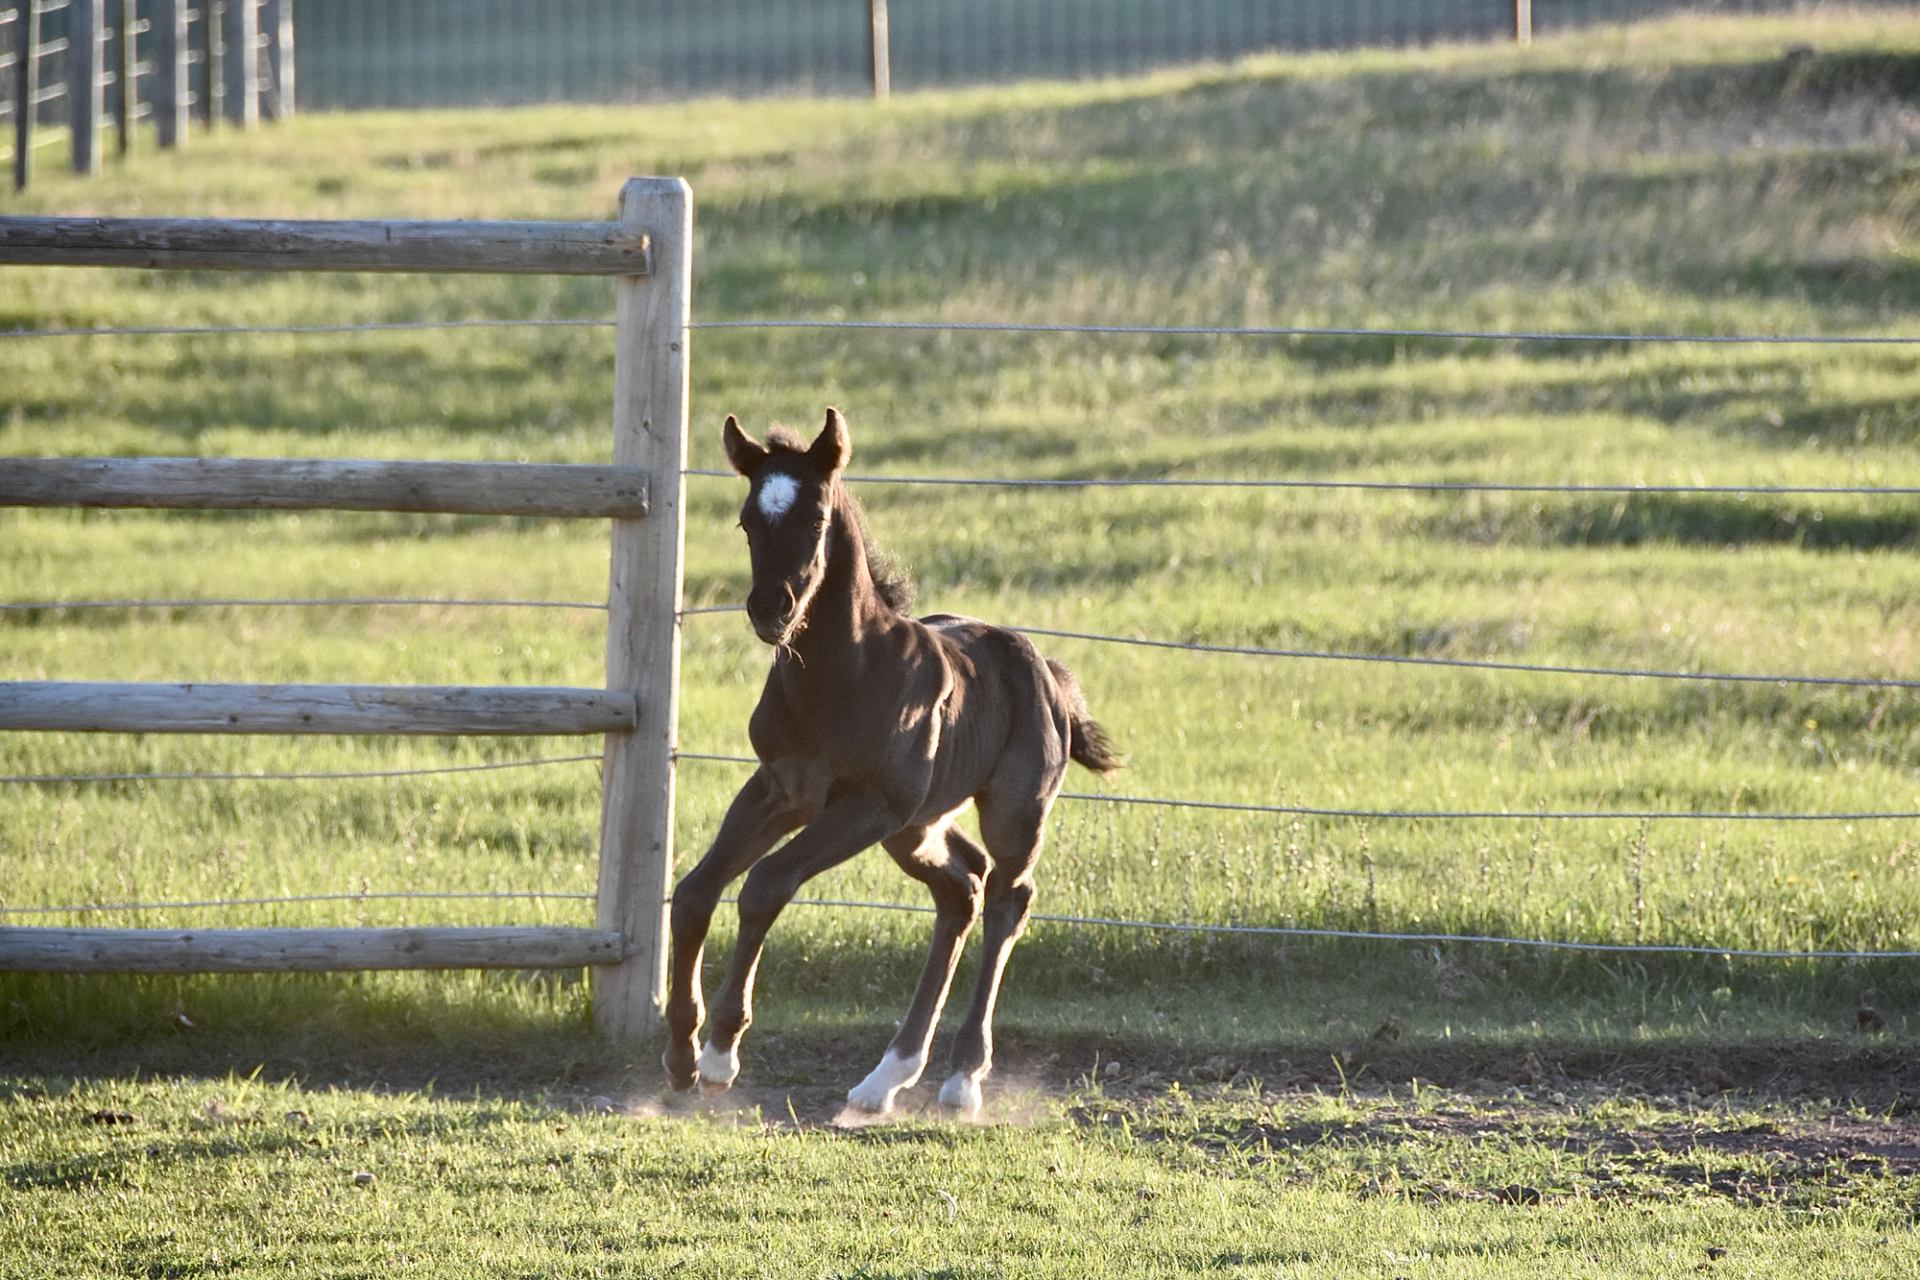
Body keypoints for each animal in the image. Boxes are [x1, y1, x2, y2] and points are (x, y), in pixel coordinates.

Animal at [662, 407, 1122, 1117]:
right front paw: (681, 1055)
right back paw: (886, 1078)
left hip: (1009, 811)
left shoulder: (869, 803)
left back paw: (962, 1078)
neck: (839, 676)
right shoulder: (780, 788)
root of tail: (1047, 671)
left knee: (1007, 897)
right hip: (916, 828)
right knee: (961, 889)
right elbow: (693, 893)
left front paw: (718, 1054)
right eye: (746, 521)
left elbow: (764, 884)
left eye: (816, 518)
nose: (769, 609)